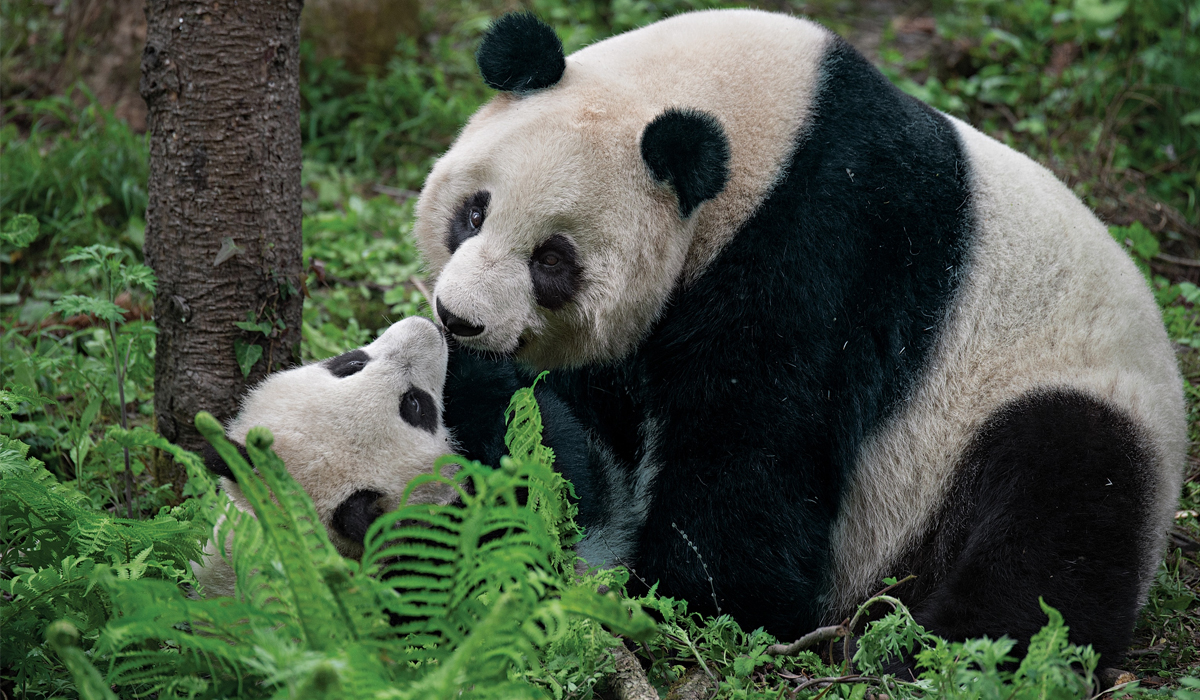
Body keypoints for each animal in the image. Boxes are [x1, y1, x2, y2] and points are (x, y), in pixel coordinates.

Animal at [415, 10, 1188, 663]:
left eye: (553, 261)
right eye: (474, 212)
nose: (459, 317)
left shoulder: (827, 249)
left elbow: (757, 448)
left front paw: (683, 598)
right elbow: (582, 441)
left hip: (1056, 397)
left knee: (1057, 517)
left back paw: (942, 648)